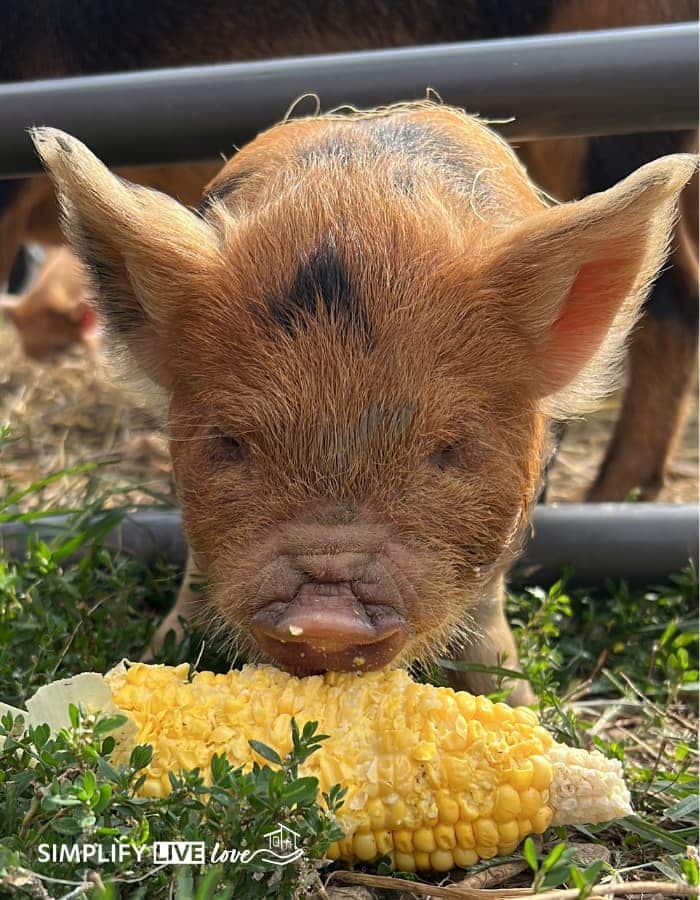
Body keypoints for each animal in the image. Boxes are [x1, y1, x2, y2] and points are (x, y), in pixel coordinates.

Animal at [30, 105, 696, 703]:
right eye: (231, 442)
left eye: (450, 449)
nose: (326, 613)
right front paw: (157, 659)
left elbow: (486, 624)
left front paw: (521, 708)